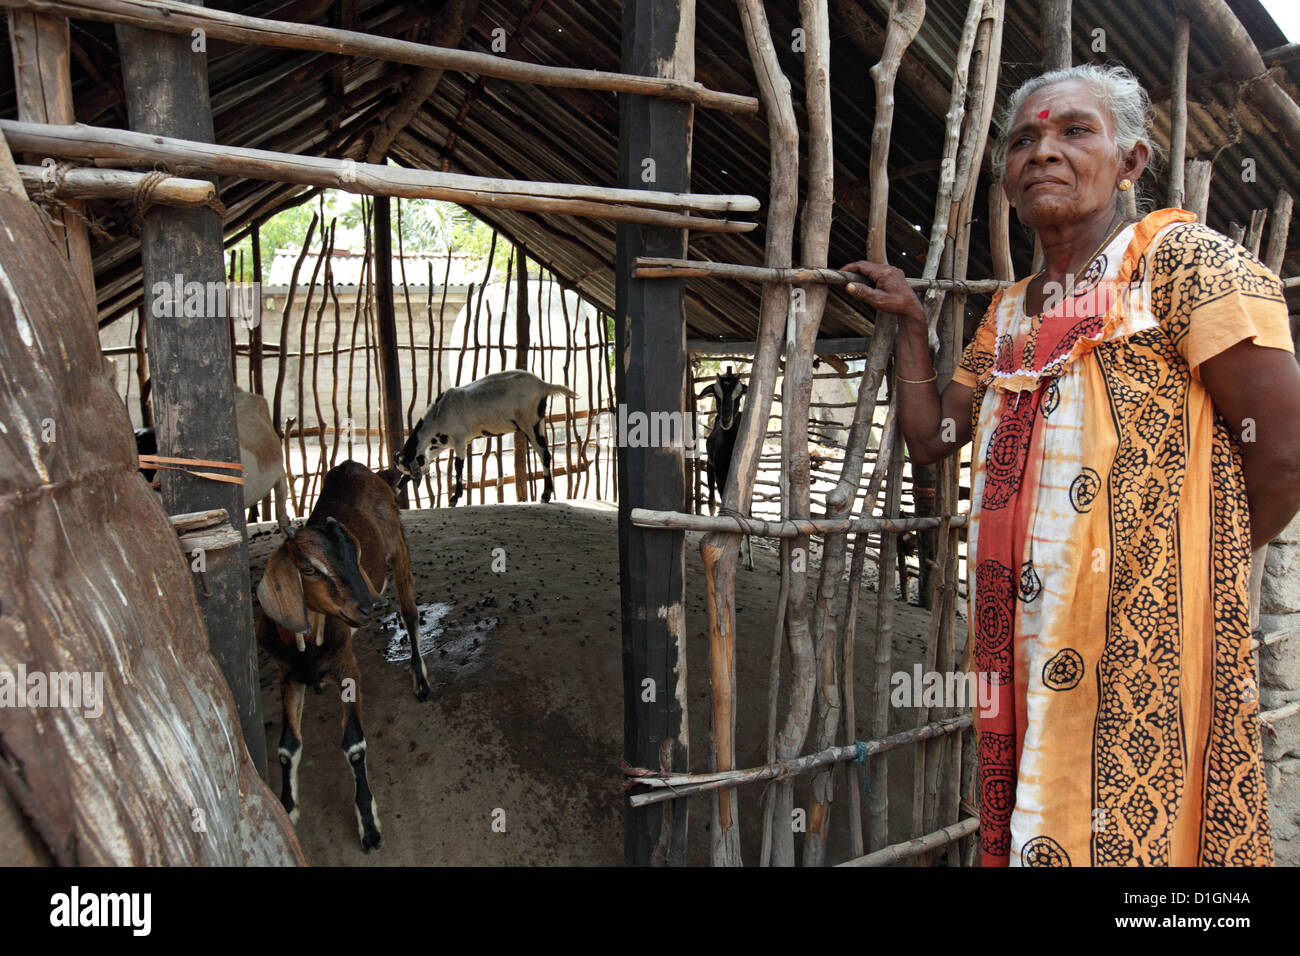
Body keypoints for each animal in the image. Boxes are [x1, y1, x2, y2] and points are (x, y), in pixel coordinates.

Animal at [256, 463, 428, 853]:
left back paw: (421, 679)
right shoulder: (288, 675)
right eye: (309, 568)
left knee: (410, 613)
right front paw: (288, 808)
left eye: (356, 552)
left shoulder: (346, 667)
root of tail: (363, 469)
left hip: (398, 547)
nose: (371, 605)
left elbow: (354, 744)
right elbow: (287, 747)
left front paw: (368, 824)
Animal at [392, 369, 577, 509]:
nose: (396, 492)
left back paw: (545, 495)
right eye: (404, 472)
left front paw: (454, 498)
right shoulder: (439, 445)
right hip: (539, 423)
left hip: (530, 422)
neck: (438, 414)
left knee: (544, 454)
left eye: (409, 470)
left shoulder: (459, 440)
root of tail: (543, 385)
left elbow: (458, 466)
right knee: (546, 454)